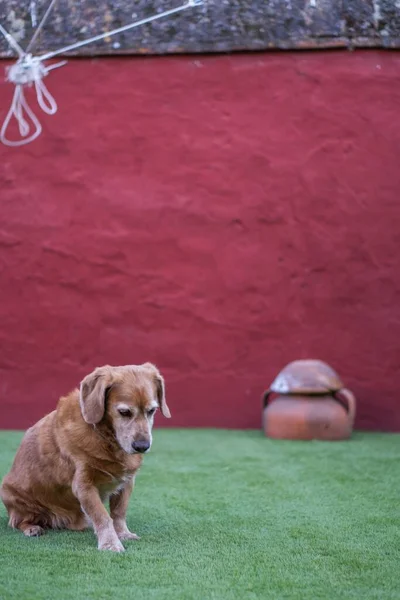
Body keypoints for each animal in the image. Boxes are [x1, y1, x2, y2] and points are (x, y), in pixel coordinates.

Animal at [0, 360, 170, 552]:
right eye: (124, 412)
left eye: (152, 411)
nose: (142, 446)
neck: (106, 439)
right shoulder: (84, 485)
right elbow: (102, 516)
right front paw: (110, 543)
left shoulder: (127, 482)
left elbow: (118, 512)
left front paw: (122, 533)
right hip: (13, 496)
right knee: (18, 521)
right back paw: (32, 528)